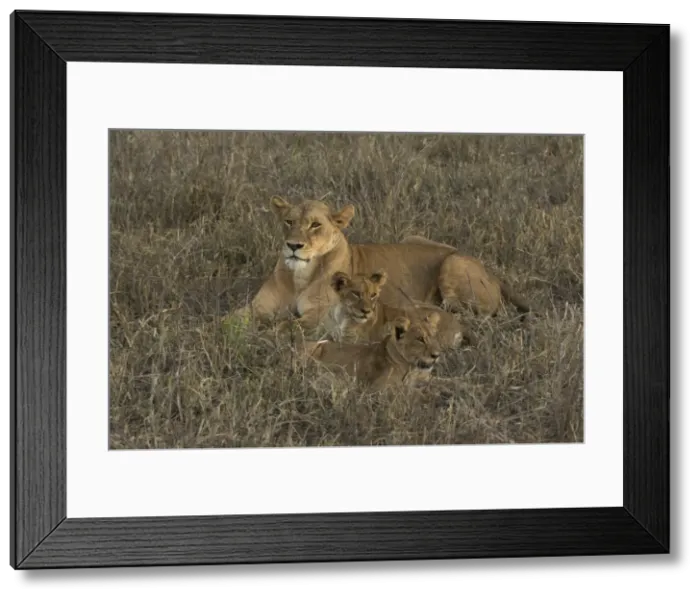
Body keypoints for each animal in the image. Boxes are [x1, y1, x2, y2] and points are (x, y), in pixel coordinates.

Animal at [232, 196, 530, 332]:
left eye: (315, 225)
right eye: (289, 221)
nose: (293, 246)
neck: (300, 275)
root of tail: (492, 272)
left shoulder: (319, 317)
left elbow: (283, 326)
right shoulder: (257, 307)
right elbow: (227, 321)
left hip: (453, 263)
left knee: (478, 316)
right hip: (413, 238)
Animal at [296, 313, 444, 392]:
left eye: (434, 336)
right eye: (420, 339)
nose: (436, 355)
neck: (413, 369)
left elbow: (444, 382)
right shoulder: (379, 388)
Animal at [324, 269, 472, 350]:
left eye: (373, 295)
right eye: (355, 293)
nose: (366, 311)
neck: (342, 316)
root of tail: (458, 324)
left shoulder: (351, 343)